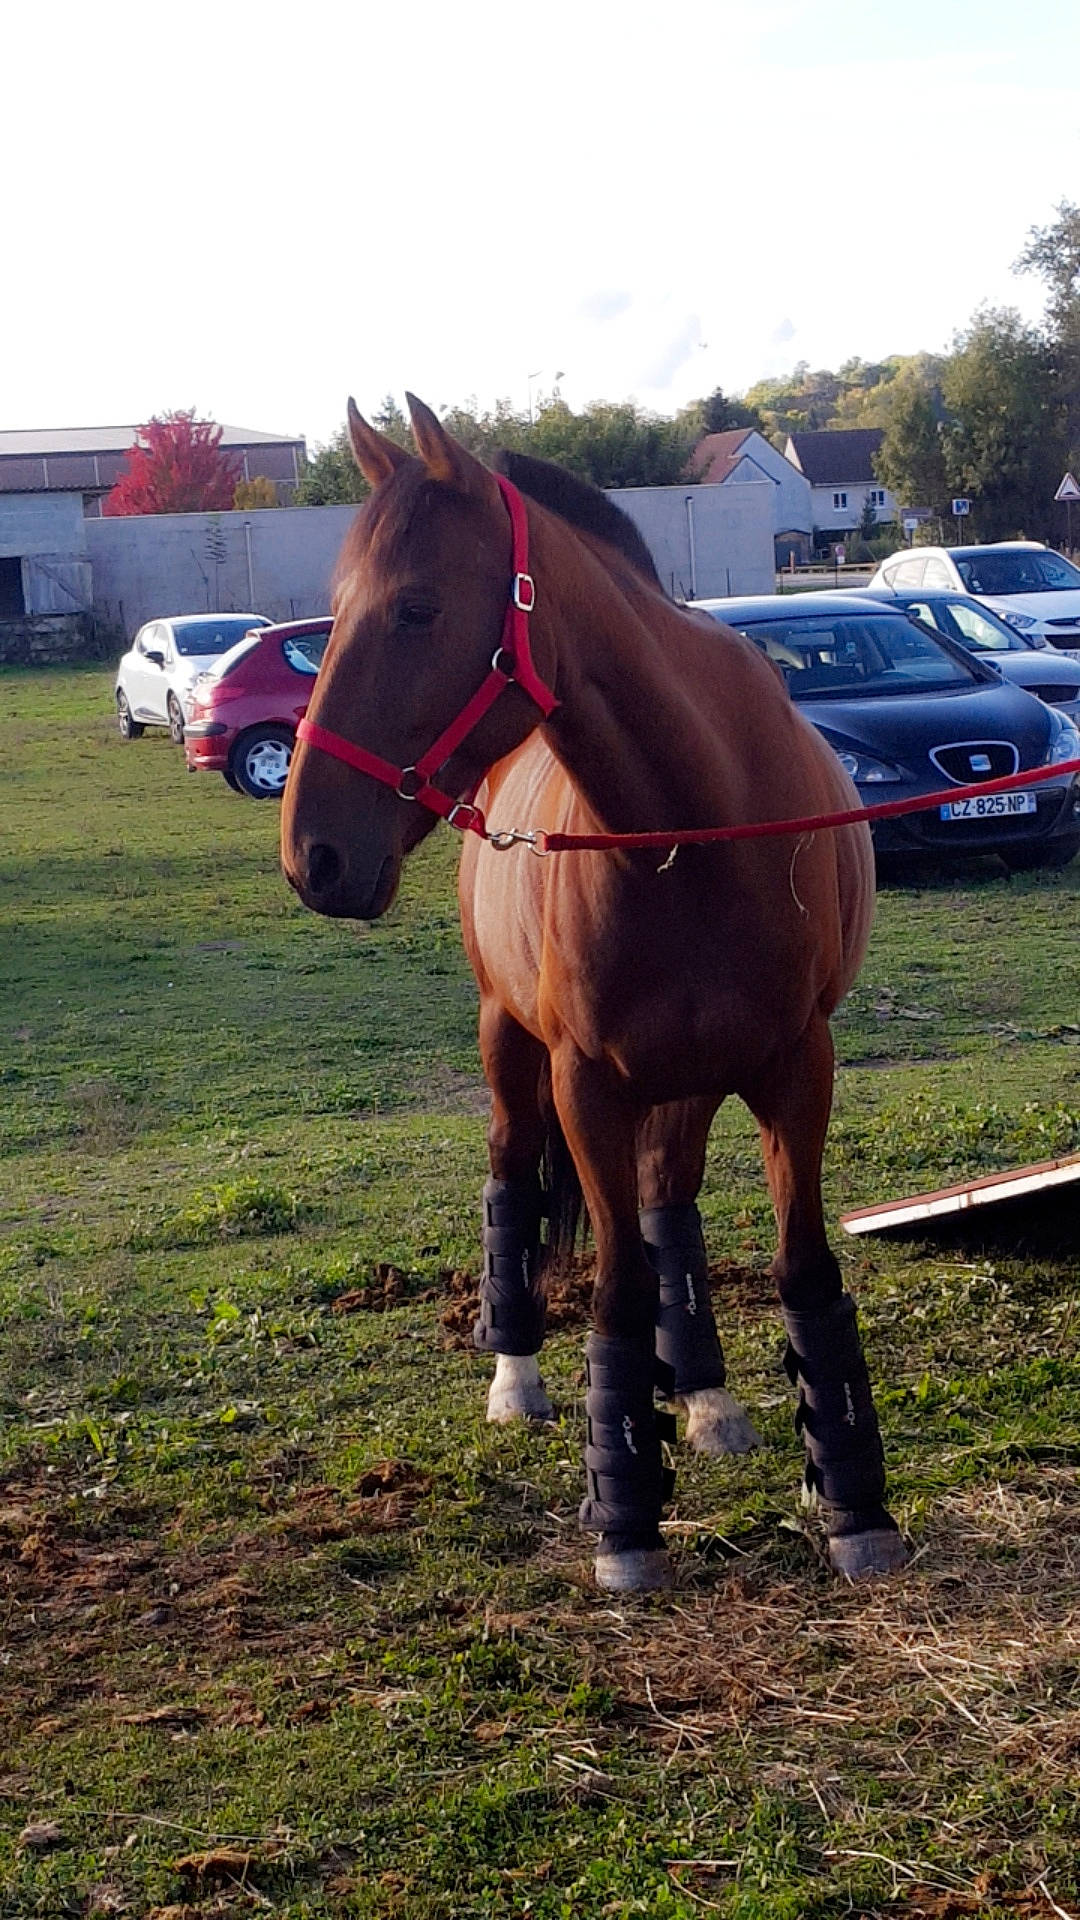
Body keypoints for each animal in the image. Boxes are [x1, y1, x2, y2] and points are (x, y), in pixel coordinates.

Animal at [280, 394, 908, 1593]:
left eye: (417, 608)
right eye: (330, 615)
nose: (313, 857)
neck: (698, 816)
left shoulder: (794, 1069)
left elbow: (800, 1266)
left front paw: (852, 1498)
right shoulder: (586, 1086)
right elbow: (614, 1286)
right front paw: (624, 1514)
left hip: (694, 1077)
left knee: (669, 1199)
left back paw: (704, 1397)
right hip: (511, 1048)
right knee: (511, 1172)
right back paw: (516, 1375)